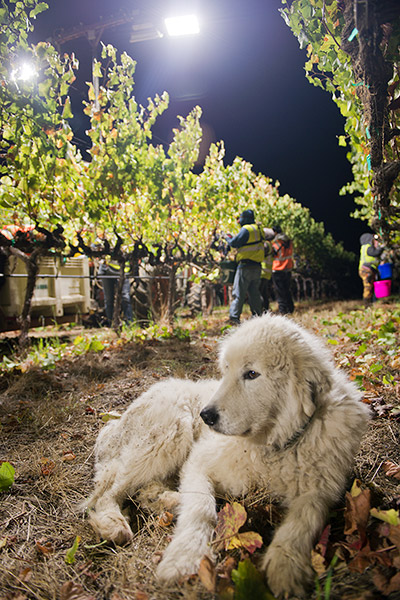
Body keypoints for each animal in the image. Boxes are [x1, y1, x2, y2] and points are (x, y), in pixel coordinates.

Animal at [83, 312, 368, 596]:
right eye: (226, 371)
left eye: (251, 374)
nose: (206, 416)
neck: (274, 446)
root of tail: (115, 422)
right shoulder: (198, 463)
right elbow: (201, 509)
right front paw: (185, 557)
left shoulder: (321, 489)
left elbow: (303, 521)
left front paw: (285, 566)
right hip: (170, 432)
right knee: (107, 494)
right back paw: (114, 523)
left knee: (143, 490)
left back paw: (168, 500)